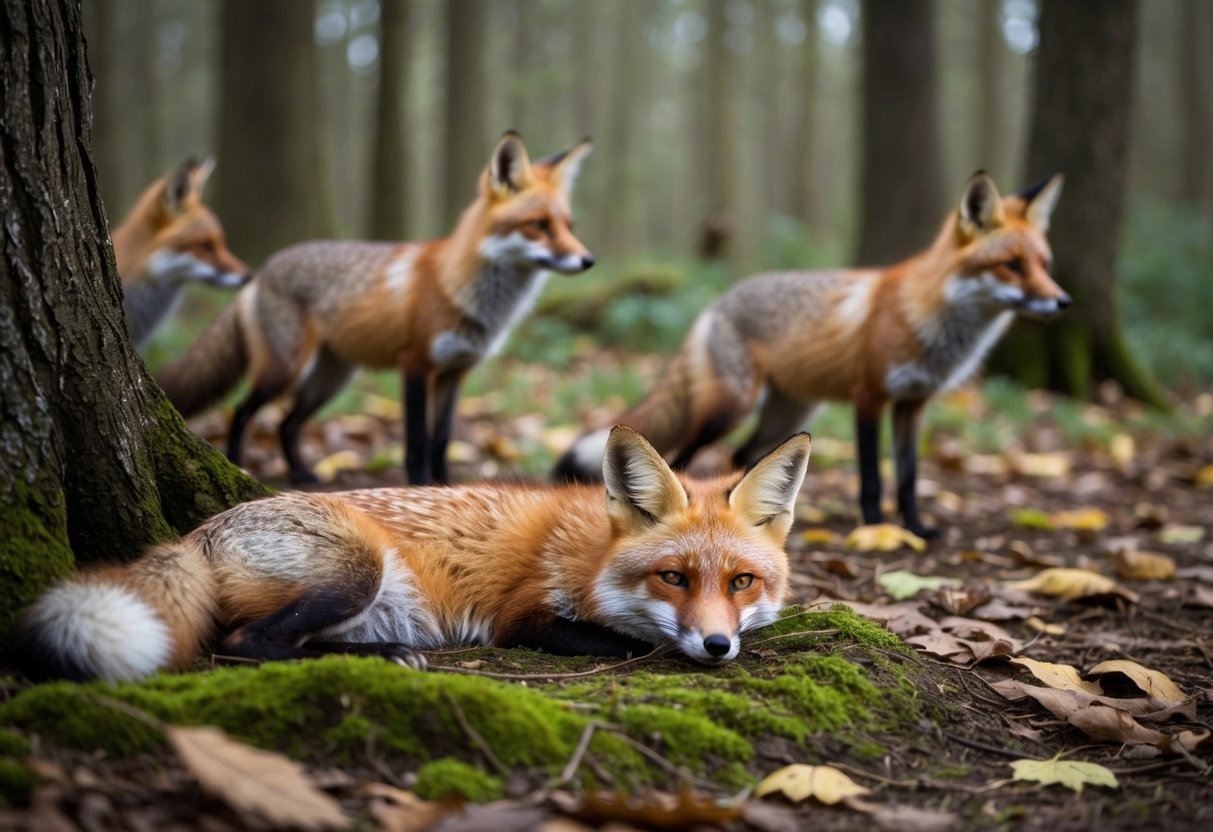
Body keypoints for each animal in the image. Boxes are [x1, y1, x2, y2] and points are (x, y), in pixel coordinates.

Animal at [19, 427, 811, 683]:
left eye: (742, 581)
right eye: (673, 577)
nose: (716, 646)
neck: (589, 555)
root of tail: (199, 530)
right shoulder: (522, 615)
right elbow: (628, 641)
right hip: (356, 571)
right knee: (247, 644)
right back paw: (386, 656)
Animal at [158, 132, 595, 485]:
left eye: (570, 226)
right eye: (538, 225)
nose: (588, 260)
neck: (465, 292)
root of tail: (260, 271)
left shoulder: (455, 374)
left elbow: (441, 443)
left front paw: (446, 488)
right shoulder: (415, 363)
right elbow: (417, 444)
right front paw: (419, 488)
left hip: (331, 381)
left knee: (286, 424)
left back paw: (301, 473)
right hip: (287, 369)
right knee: (241, 411)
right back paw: (237, 465)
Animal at [556, 172, 1069, 539]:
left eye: (1044, 265)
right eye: (1011, 266)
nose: (1063, 303)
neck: (926, 316)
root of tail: (716, 302)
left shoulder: (914, 403)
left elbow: (907, 479)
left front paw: (918, 530)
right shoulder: (869, 396)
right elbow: (871, 477)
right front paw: (876, 530)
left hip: (789, 415)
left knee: (742, 455)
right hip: (730, 408)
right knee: (684, 454)